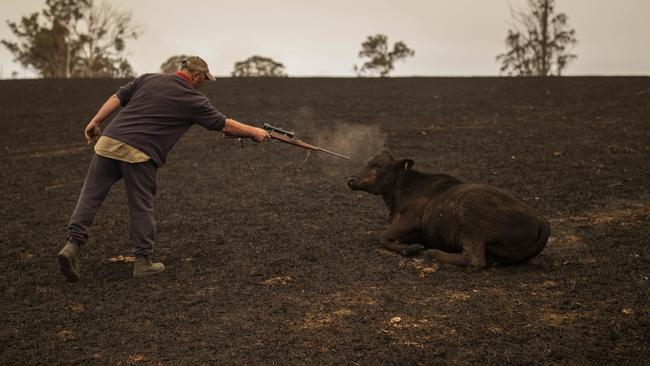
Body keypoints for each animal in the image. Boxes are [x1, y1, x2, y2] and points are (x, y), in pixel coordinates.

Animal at [346, 149, 548, 272]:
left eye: (377, 167)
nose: (351, 180)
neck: (401, 190)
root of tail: (542, 220)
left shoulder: (410, 221)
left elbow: (382, 237)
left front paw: (411, 248)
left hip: (470, 215)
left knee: (474, 260)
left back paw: (434, 253)